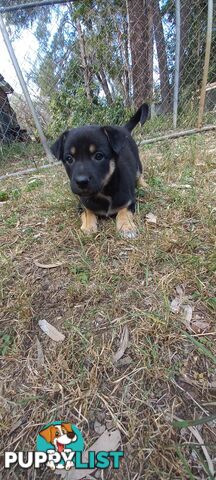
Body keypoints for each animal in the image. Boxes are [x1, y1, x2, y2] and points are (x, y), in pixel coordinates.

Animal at [50, 106, 148, 239]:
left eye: (98, 156)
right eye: (69, 159)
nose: (81, 182)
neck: (103, 193)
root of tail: (123, 129)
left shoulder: (130, 201)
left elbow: (123, 212)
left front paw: (126, 227)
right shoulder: (81, 205)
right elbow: (88, 212)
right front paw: (88, 226)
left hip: (138, 162)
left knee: (139, 175)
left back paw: (144, 185)